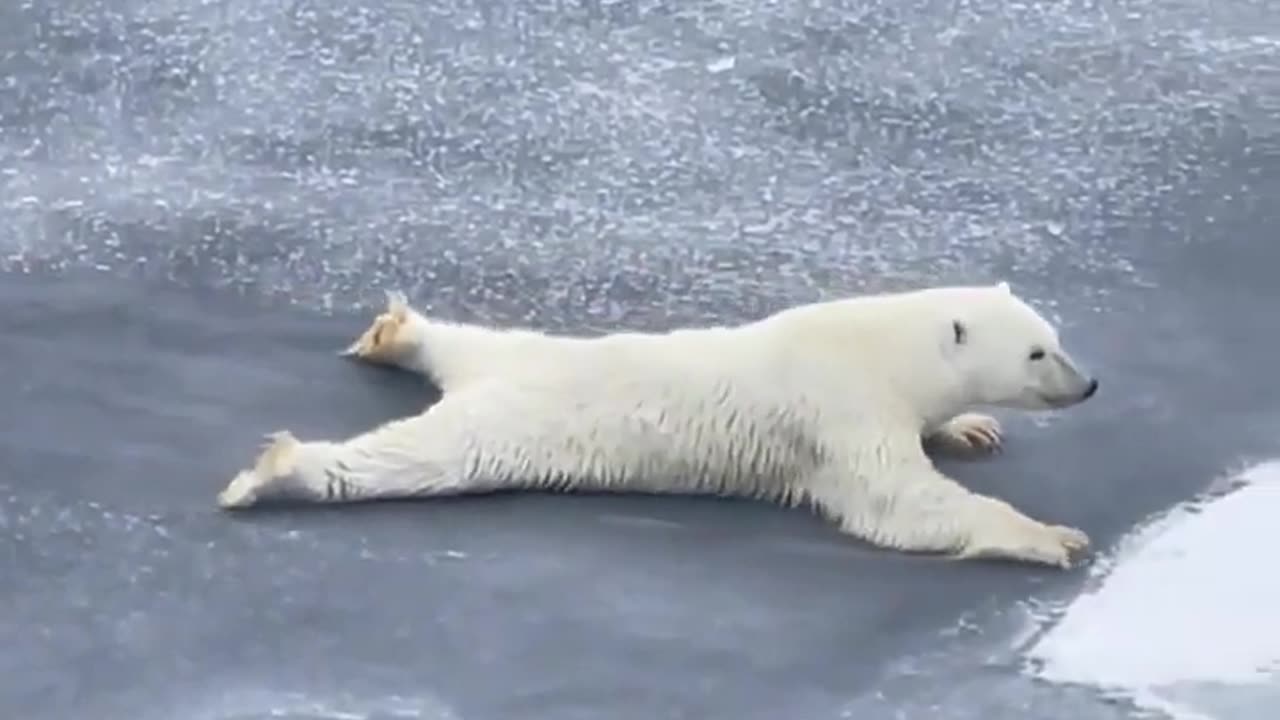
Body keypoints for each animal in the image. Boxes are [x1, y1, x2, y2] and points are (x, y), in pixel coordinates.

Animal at [215, 280, 1095, 566]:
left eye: (1056, 337)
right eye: (1038, 351)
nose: (1088, 384)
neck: (877, 346)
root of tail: (488, 384)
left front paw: (970, 428)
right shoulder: (839, 411)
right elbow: (898, 503)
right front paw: (1051, 536)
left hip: (516, 353)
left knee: (468, 337)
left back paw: (398, 333)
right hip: (506, 424)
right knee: (412, 459)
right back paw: (277, 470)